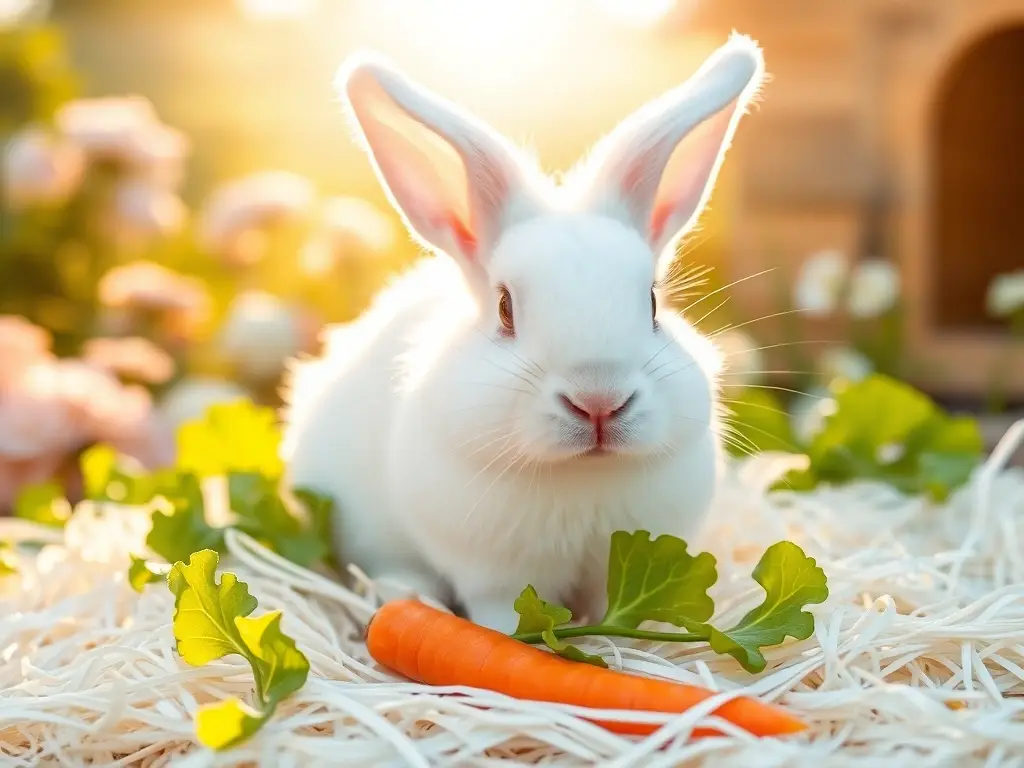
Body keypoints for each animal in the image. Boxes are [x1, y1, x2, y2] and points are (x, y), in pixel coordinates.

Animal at [281, 33, 766, 633]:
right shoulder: (493, 573)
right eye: (505, 308)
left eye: (653, 304)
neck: (581, 479)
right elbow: (501, 615)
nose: (599, 401)